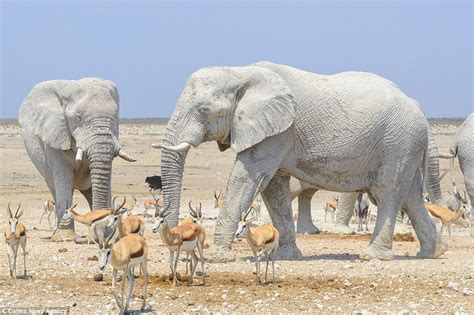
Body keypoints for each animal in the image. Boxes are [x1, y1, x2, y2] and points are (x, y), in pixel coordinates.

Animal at [18, 78, 135, 242]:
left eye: (116, 116)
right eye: (78, 117)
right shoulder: (54, 137)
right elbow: (63, 177)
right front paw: (64, 237)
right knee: (57, 190)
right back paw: (56, 233)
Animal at [154, 61, 446, 262]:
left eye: (203, 110)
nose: (178, 238)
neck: (241, 72)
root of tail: (420, 109)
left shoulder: (275, 133)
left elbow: (247, 178)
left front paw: (219, 258)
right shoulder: (274, 133)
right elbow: (274, 189)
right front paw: (287, 256)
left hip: (398, 141)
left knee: (388, 191)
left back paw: (373, 256)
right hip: (406, 145)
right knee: (410, 195)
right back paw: (431, 253)